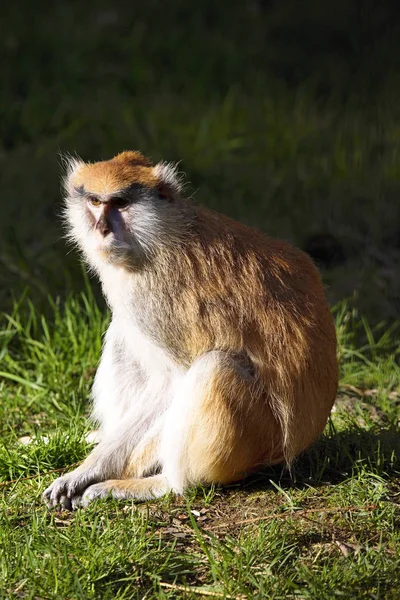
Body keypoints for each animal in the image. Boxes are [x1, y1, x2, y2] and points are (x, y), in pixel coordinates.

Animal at [43, 151, 338, 510]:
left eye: (121, 203)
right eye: (95, 202)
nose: (102, 229)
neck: (158, 235)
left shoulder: (152, 294)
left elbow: (173, 382)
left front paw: (88, 472)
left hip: (256, 440)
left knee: (216, 368)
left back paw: (162, 484)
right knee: (122, 338)